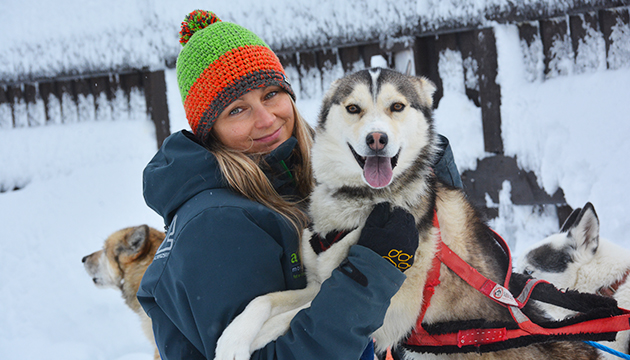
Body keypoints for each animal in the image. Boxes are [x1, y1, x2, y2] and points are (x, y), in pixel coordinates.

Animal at [216, 68, 604, 360]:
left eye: (397, 106)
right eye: (353, 108)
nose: (377, 139)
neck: (368, 202)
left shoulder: (390, 311)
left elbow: (296, 315)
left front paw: (258, 336)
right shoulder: (318, 284)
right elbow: (265, 300)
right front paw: (234, 337)